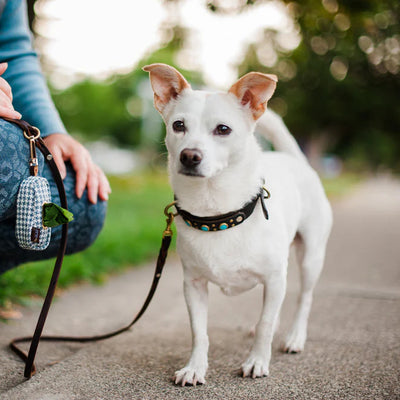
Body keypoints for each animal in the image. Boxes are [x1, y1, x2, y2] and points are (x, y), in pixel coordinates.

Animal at [144, 64, 332, 386]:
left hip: (311, 258)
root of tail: (293, 158)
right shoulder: (193, 285)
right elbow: (199, 332)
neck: (218, 213)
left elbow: (266, 323)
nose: (189, 156)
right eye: (178, 125)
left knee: (303, 299)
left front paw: (257, 361)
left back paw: (295, 336)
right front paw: (195, 367)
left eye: (223, 129)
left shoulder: (274, 277)